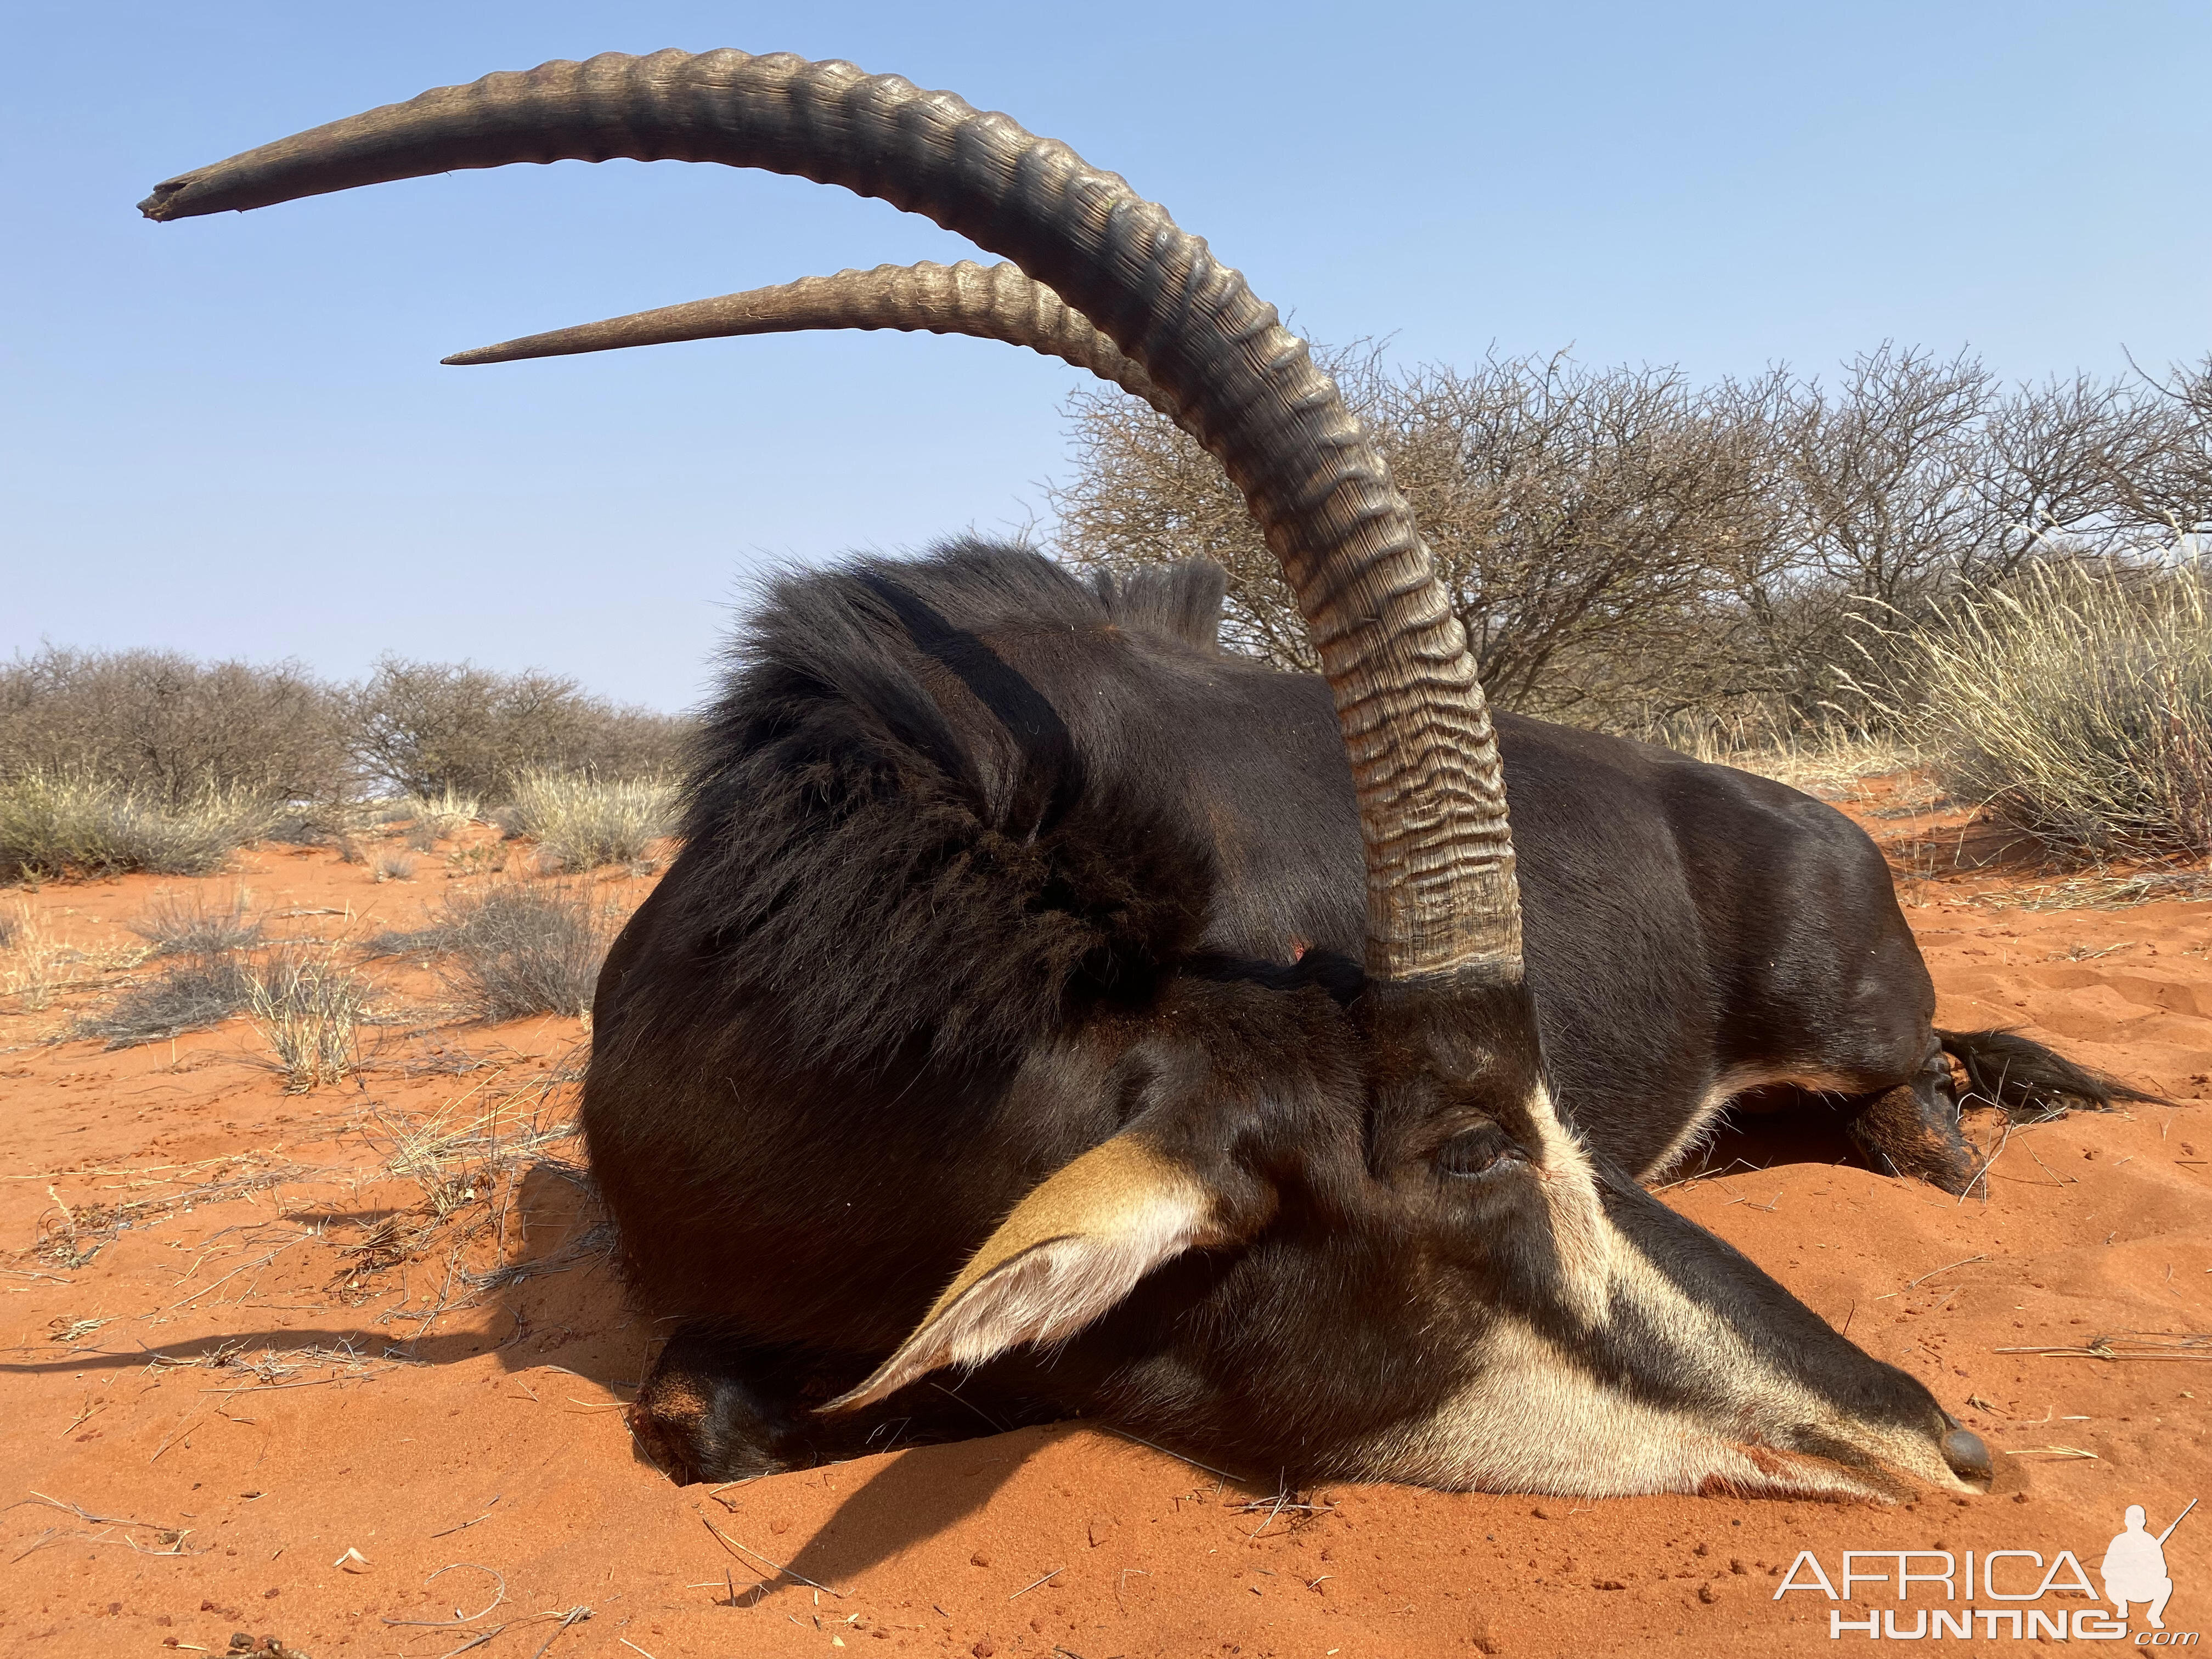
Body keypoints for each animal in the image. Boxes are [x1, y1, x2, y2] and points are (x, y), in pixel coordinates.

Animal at [143, 48, 2141, 1504]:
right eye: (1476, 1155)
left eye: (1549, 1123)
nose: (1944, 1442)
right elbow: (697, 1418)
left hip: (1859, 1037)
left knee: (1926, 1113)